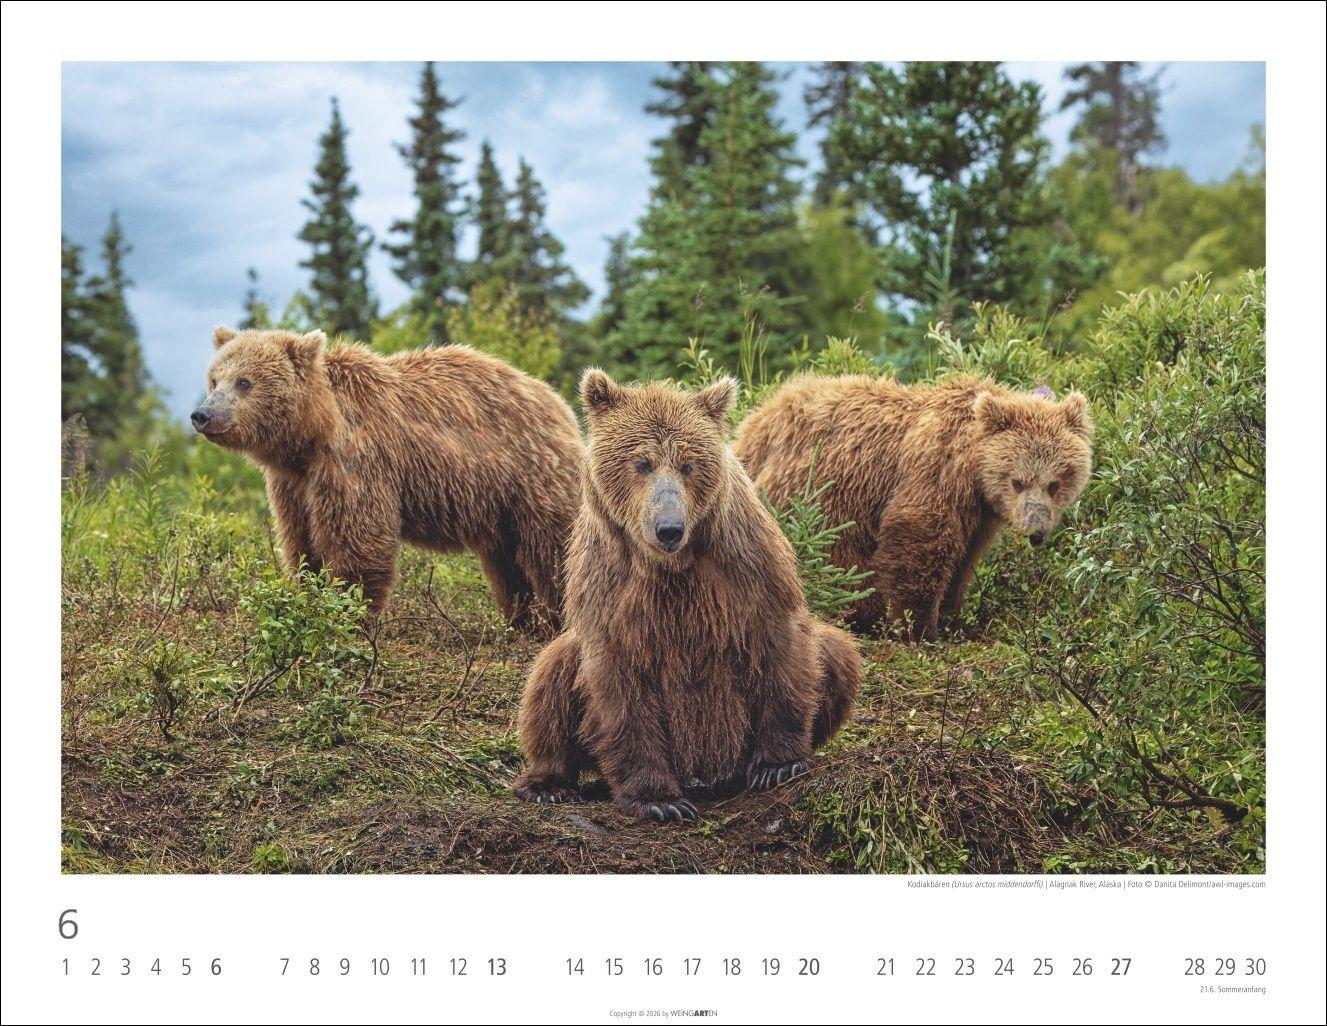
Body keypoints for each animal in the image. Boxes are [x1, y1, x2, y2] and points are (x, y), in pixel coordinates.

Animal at [193, 326, 583, 631]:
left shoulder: (355, 461)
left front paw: (348, 611)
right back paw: (525, 620)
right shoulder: (293, 483)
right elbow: (300, 539)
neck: (311, 435)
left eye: (244, 382)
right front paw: (309, 594)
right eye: (214, 379)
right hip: (501, 505)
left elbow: (357, 536)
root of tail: (558, 403)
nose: (202, 414)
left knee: (554, 548)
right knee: (508, 563)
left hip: (532, 476)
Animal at [512, 370, 862, 822]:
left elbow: (781, 647)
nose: (669, 528)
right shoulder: (611, 589)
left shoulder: (745, 565)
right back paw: (548, 784)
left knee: (836, 651)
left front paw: (779, 765)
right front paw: (658, 800)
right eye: (641, 463)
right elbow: (619, 688)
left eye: (688, 464)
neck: (671, 567)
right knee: (550, 675)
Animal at [733, 374, 1094, 640]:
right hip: (816, 497)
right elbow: (920, 537)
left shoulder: (980, 515)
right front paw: (919, 627)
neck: (974, 468)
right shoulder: (937, 472)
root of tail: (754, 422)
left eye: (1055, 483)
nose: (1035, 532)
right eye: (1017, 481)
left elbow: (964, 559)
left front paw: (953, 618)